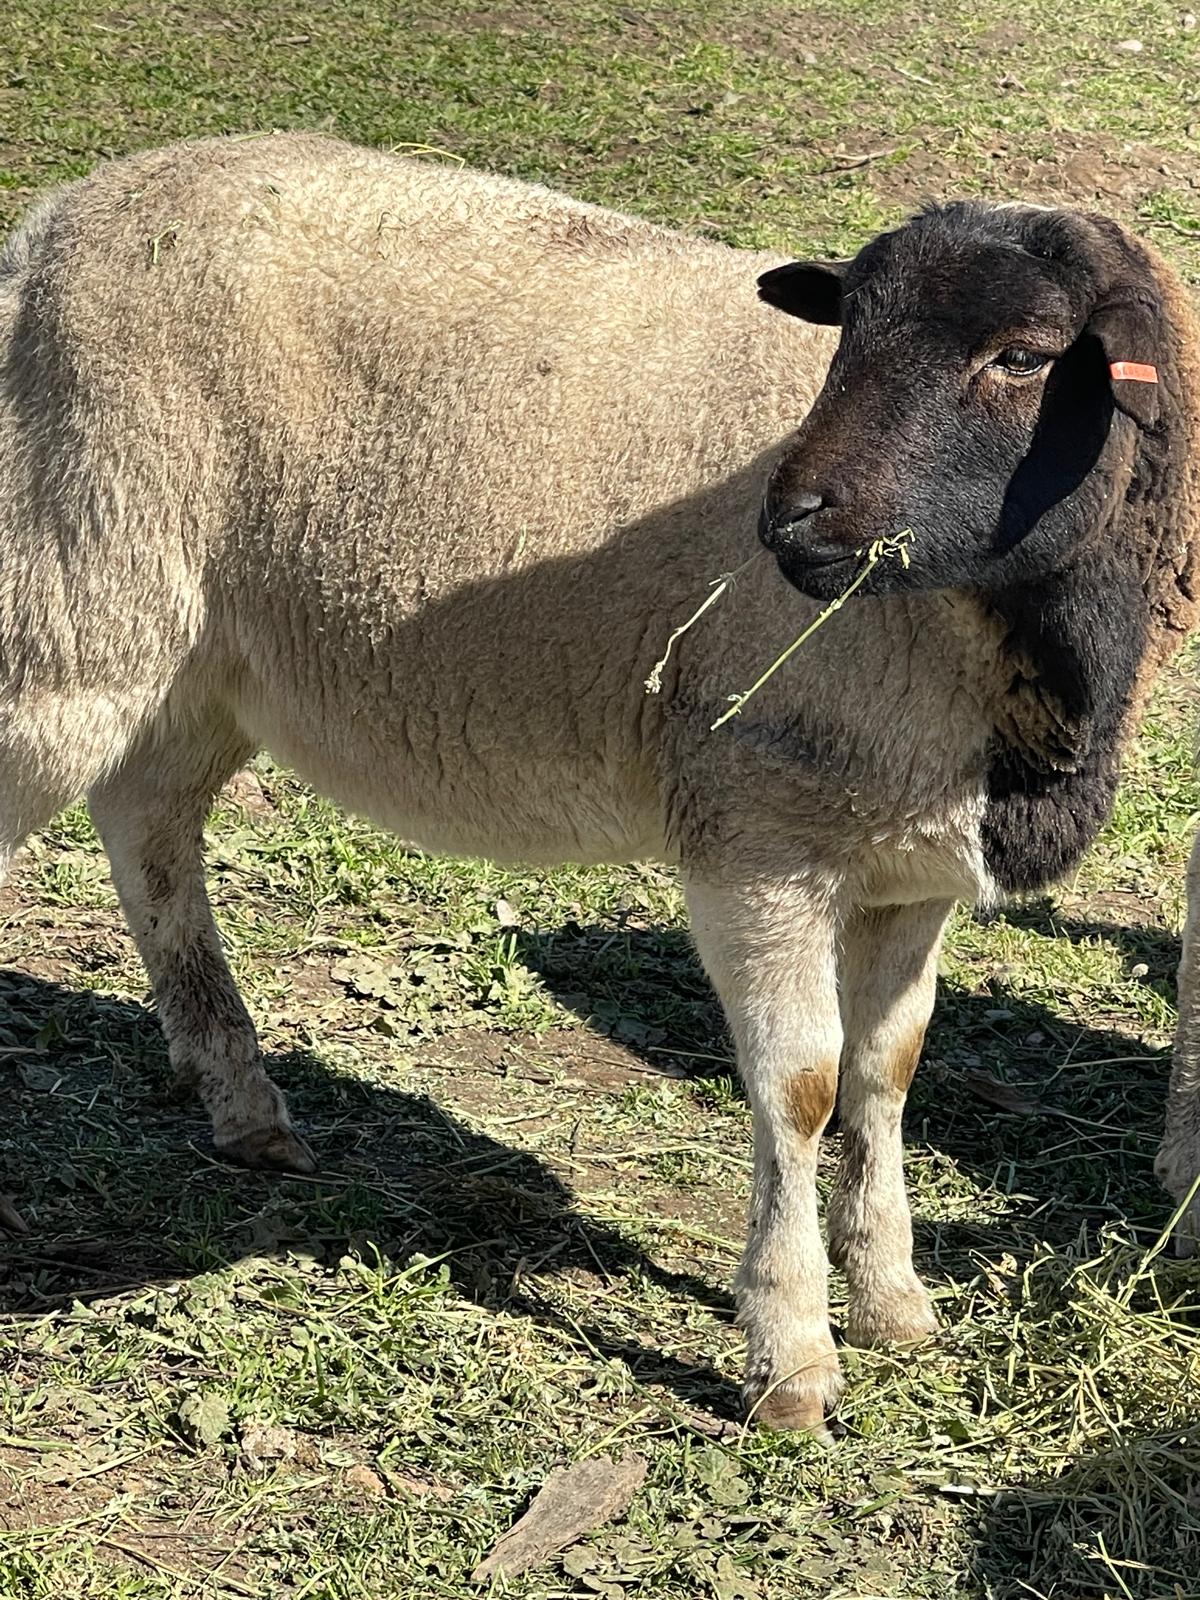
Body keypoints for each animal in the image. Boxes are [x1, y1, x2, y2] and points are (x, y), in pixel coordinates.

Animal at [1, 133, 1197, 1435]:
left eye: (1023, 356)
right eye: (847, 335)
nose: (791, 522)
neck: (1013, 650)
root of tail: (55, 219)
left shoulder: (909, 860)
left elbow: (886, 1076)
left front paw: (892, 1301)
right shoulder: (754, 833)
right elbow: (802, 1089)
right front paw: (792, 1355)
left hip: (194, 657)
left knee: (149, 827)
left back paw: (244, 1104)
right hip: (69, 593)